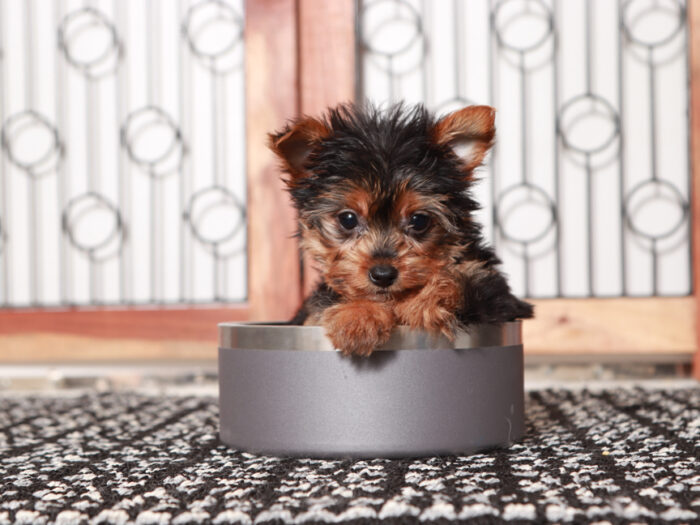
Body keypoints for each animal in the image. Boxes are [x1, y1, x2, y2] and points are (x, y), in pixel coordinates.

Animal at [270, 103, 532, 356]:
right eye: (348, 219)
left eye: (419, 221)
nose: (383, 275)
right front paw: (358, 316)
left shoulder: (500, 298)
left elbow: (465, 281)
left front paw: (420, 301)